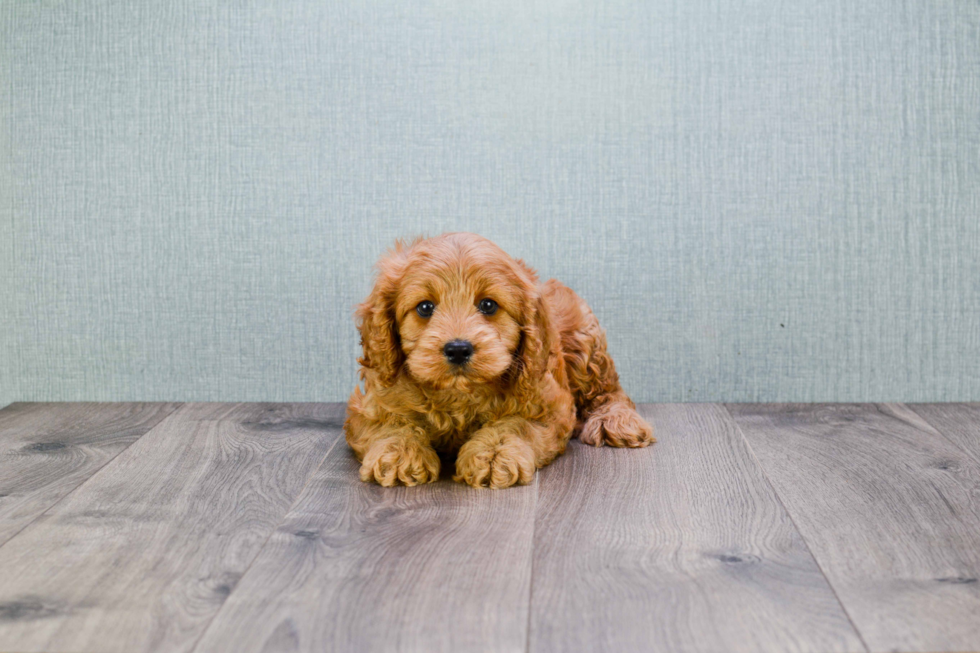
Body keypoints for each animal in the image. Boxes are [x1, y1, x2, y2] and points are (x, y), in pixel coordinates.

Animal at [340, 232, 656, 486]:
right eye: (425, 307)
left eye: (488, 305)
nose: (458, 348)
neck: (458, 394)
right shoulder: (370, 407)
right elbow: (392, 425)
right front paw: (400, 453)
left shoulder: (547, 406)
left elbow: (513, 425)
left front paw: (492, 455)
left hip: (585, 346)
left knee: (610, 391)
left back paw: (617, 421)